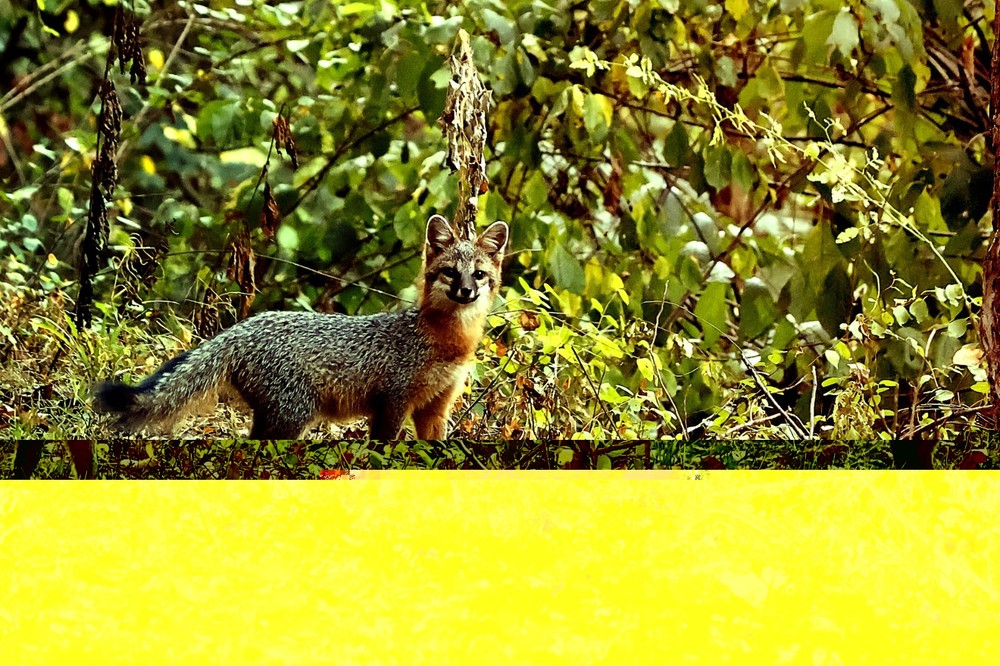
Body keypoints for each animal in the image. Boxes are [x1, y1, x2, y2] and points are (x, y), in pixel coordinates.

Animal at [92, 214, 509, 439]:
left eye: (479, 274)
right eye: (451, 273)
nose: (467, 292)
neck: (444, 340)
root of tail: (241, 328)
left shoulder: (435, 409)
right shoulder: (392, 403)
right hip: (292, 416)